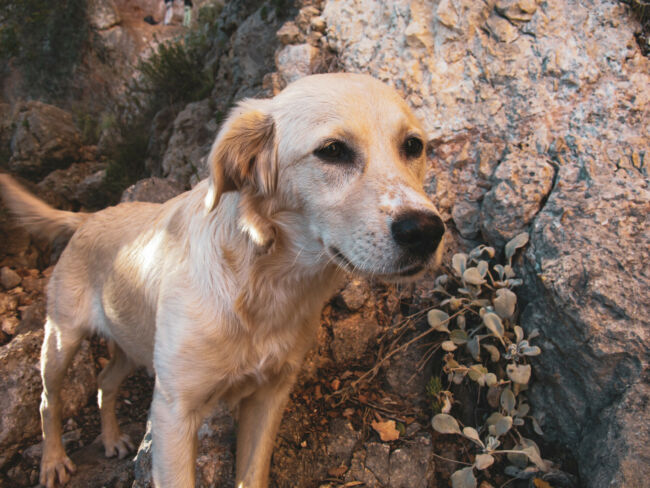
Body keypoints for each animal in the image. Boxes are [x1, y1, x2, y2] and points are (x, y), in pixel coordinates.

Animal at [0, 73, 446, 488]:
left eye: (413, 146)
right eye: (332, 150)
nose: (427, 231)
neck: (264, 283)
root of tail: (89, 216)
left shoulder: (268, 398)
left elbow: (252, 473)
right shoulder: (173, 412)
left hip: (130, 340)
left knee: (104, 382)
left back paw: (110, 439)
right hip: (61, 341)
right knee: (48, 402)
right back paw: (53, 461)